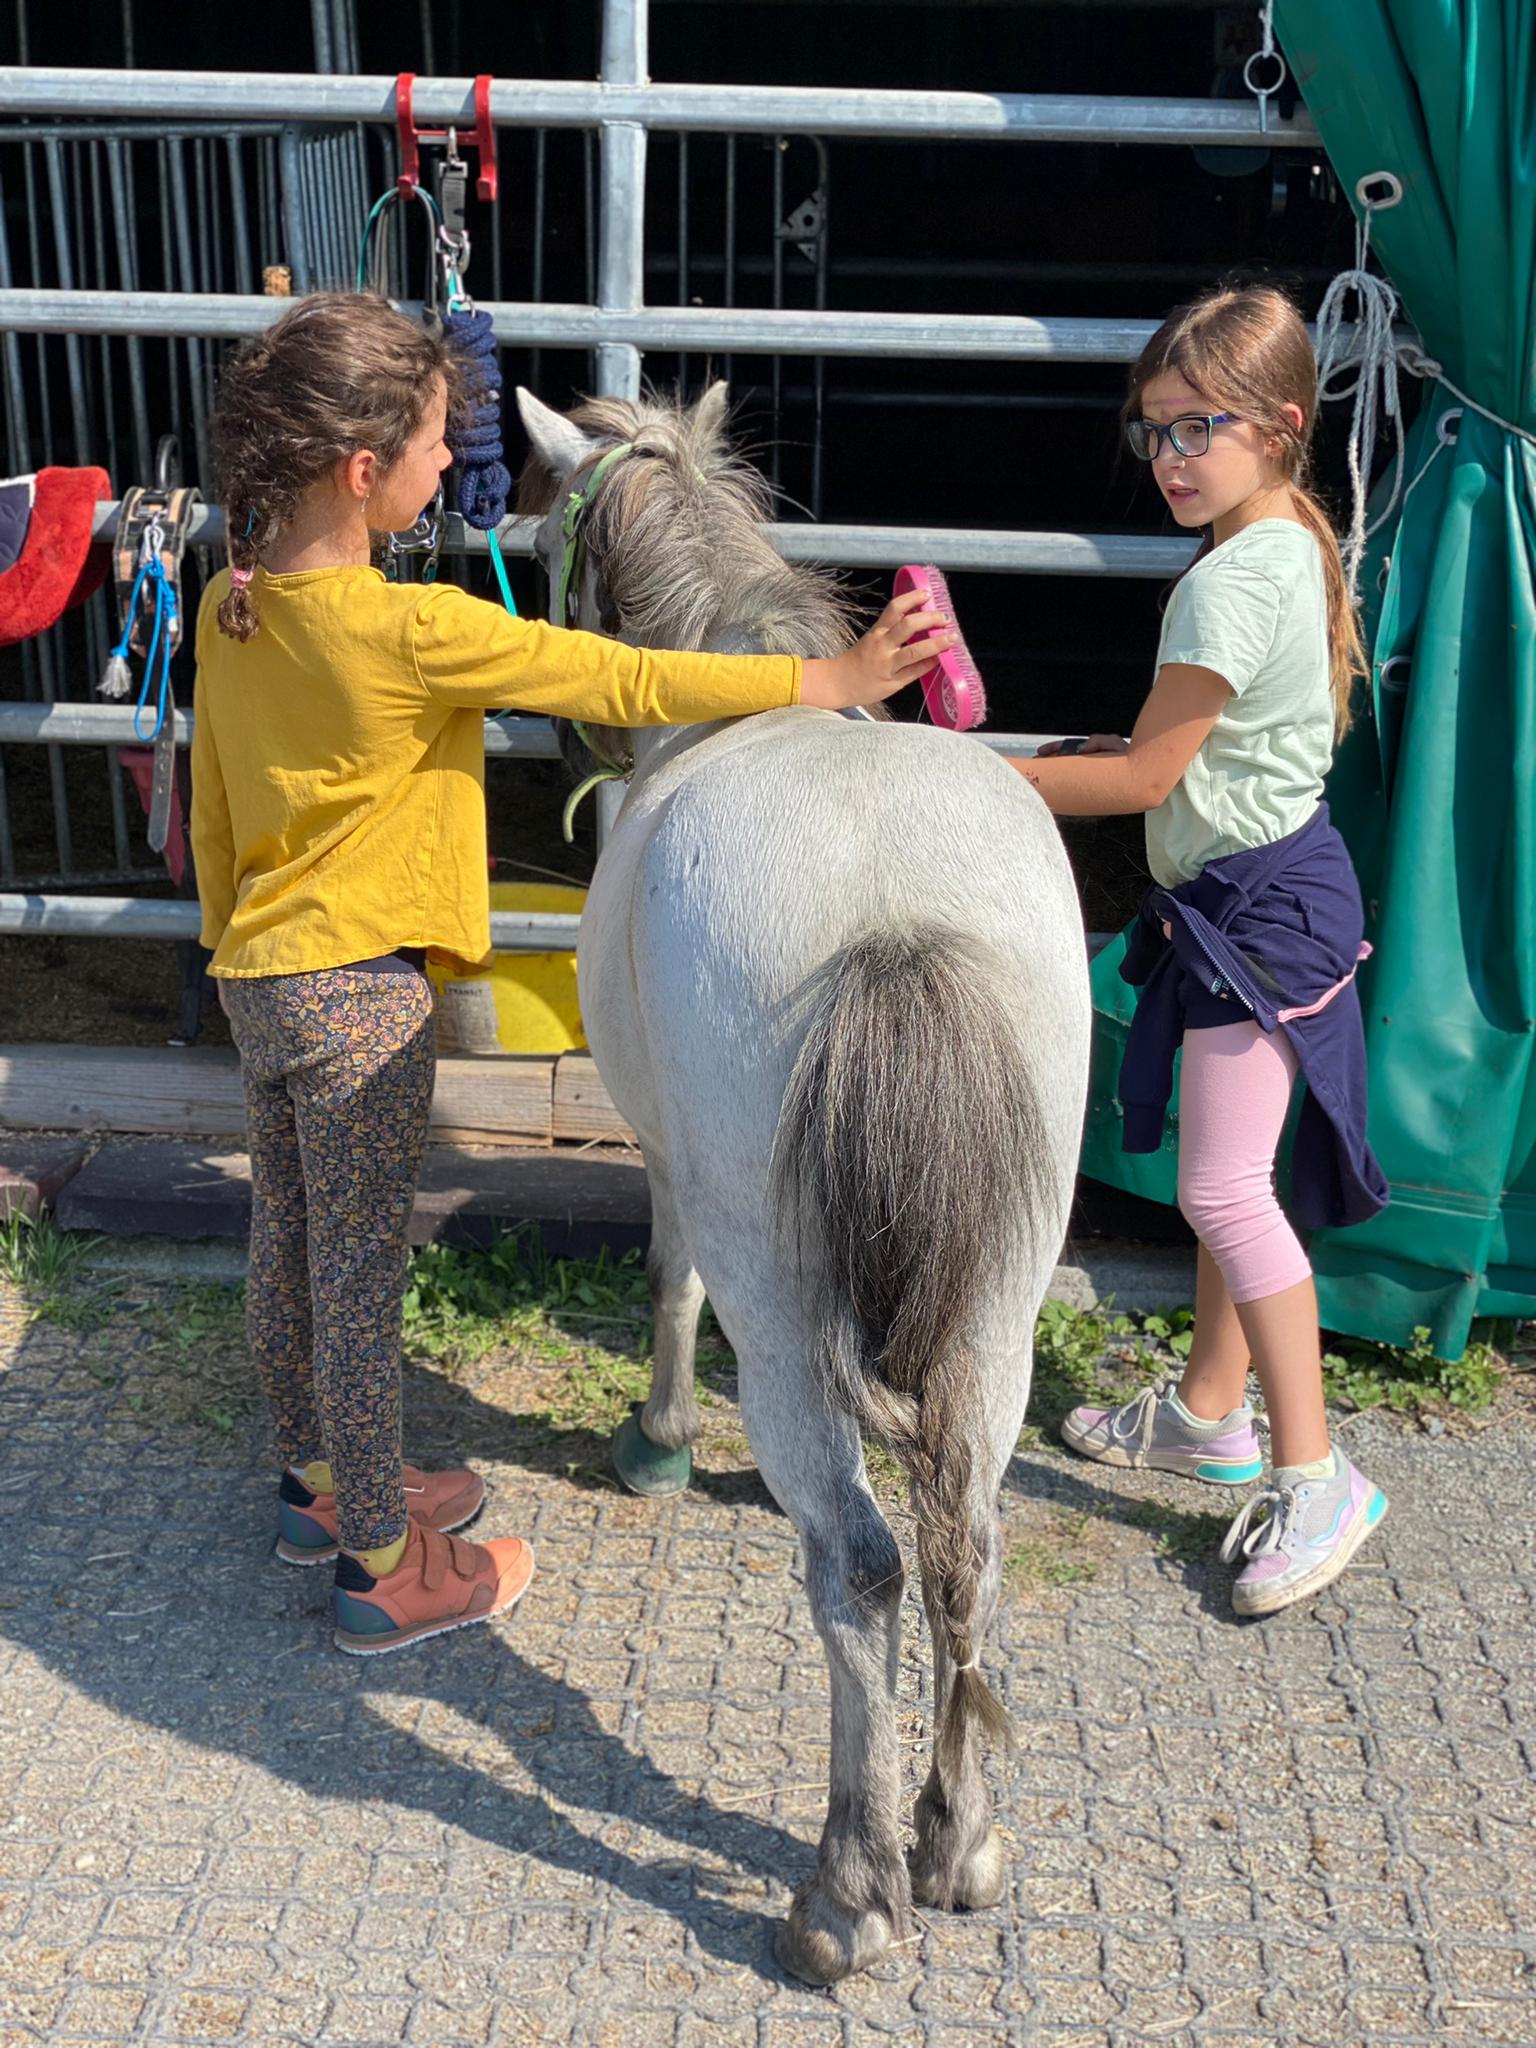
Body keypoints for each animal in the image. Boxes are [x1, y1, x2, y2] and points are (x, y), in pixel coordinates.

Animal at [513, 382, 1091, 1984]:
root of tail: (893, 913)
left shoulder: (669, 1168)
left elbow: (665, 1285)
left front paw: (653, 1443)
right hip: (1001, 1305)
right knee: (969, 1540)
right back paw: (960, 1844)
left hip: (785, 1316)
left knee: (865, 1565)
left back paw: (848, 1894)